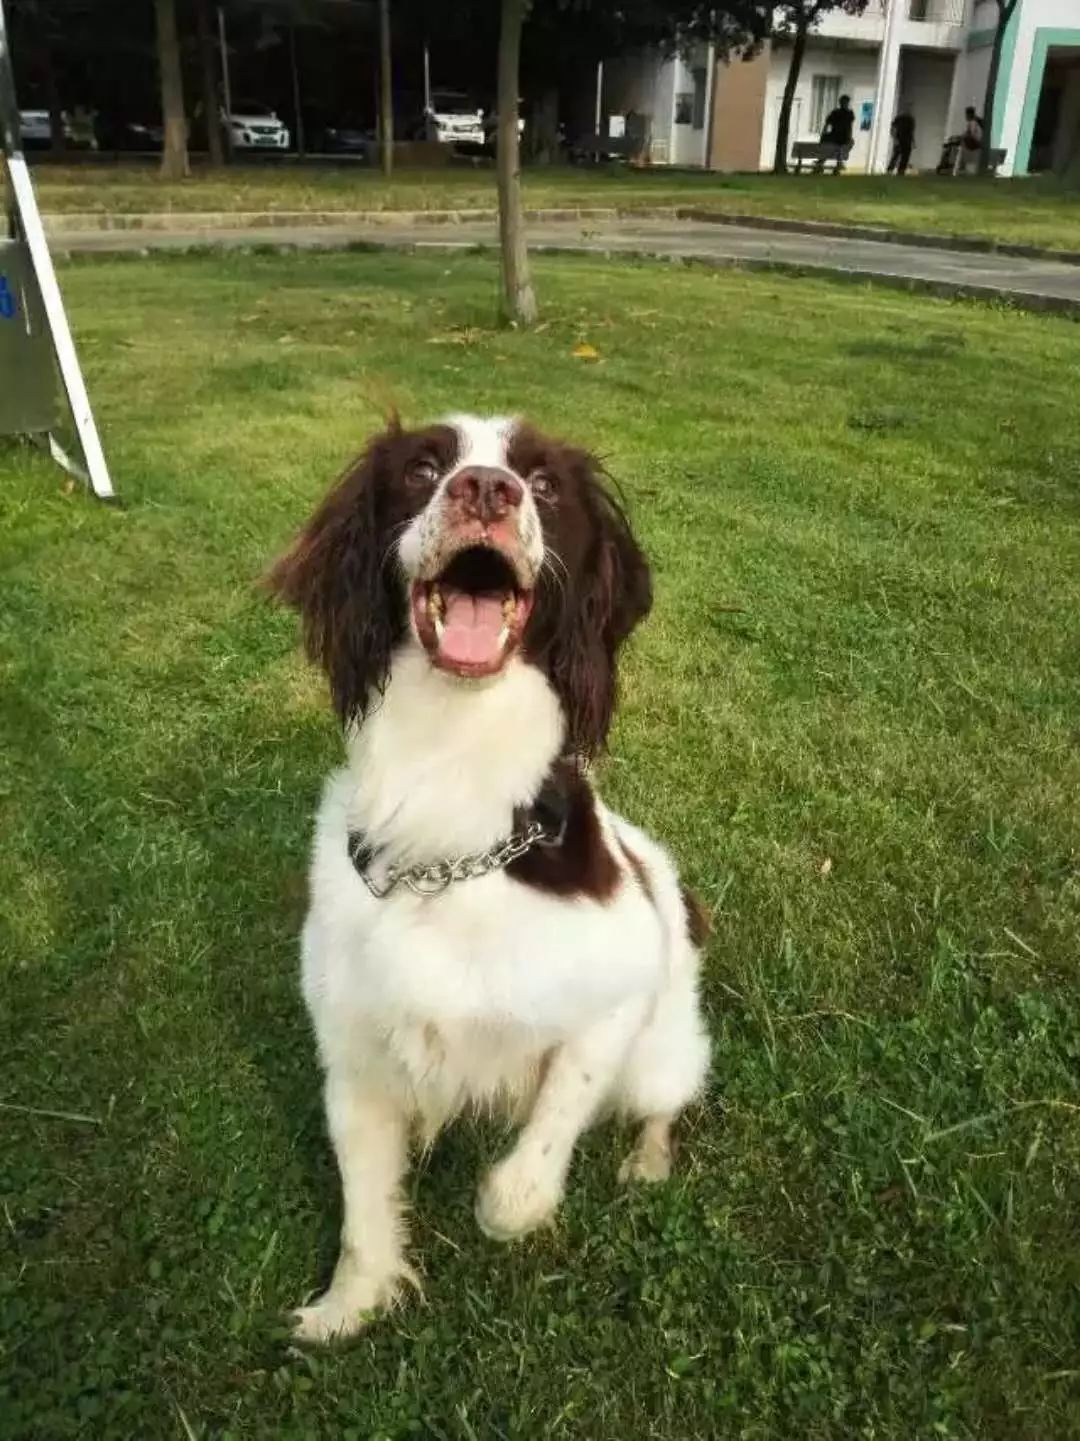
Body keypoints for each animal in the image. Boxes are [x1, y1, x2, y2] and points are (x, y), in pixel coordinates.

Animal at [266, 415, 712, 1337]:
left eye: (542, 485)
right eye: (422, 468)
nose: (484, 490)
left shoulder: (614, 993)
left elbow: (525, 1173)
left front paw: (509, 1196)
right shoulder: (353, 1050)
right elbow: (363, 1211)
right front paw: (350, 1305)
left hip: (665, 1042)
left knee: (664, 1098)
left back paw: (648, 1161)